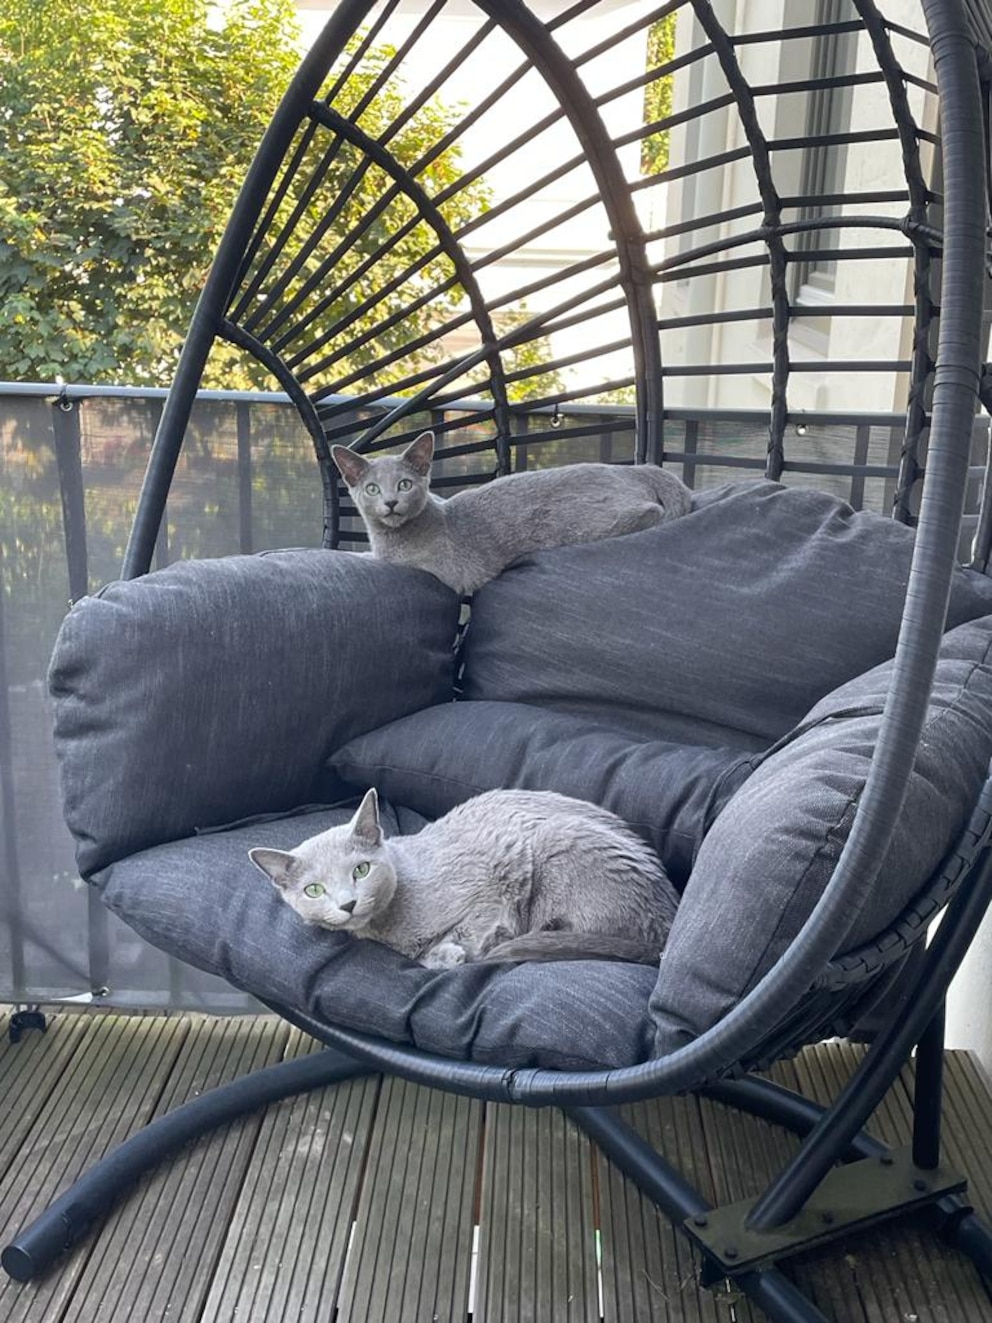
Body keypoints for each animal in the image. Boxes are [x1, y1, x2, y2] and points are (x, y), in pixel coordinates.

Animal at [249, 788, 682, 968]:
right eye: (314, 890)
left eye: (361, 870)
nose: (348, 903)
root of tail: (666, 933)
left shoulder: (496, 881)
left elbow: (472, 930)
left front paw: (453, 952)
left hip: (558, 840)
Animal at [334, 428, 693, 595]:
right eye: (372, 489)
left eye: (405, 484)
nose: (391, 502)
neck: (389, 538)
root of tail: (634, 470)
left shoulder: (438, 569)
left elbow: (374, 558)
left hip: (588, 522)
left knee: (650, 512)